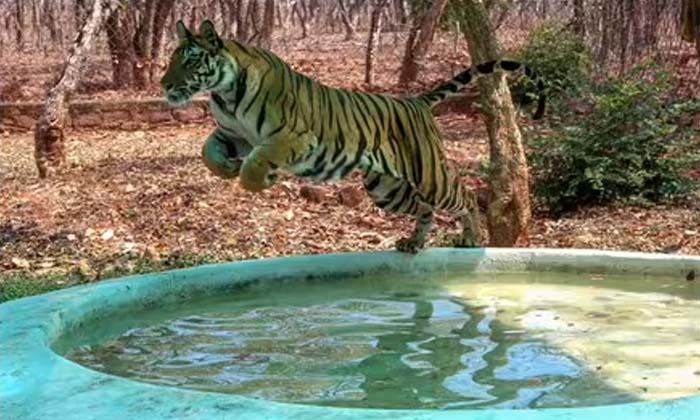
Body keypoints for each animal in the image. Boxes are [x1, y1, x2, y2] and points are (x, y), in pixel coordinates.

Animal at [160, 20, 546, 253]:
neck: (226, 92)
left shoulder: (294, 136)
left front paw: (258, 179)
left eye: (190, 61)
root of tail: (416, 101)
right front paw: (225, 168)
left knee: (463, 196)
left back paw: (472, 238)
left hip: (430, 175)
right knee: (424, 209)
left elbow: (258, 162)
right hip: (386, 189)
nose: (163, 85)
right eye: (171, 59)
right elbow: (207, 152)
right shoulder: (232, 133)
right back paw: (413, 243)